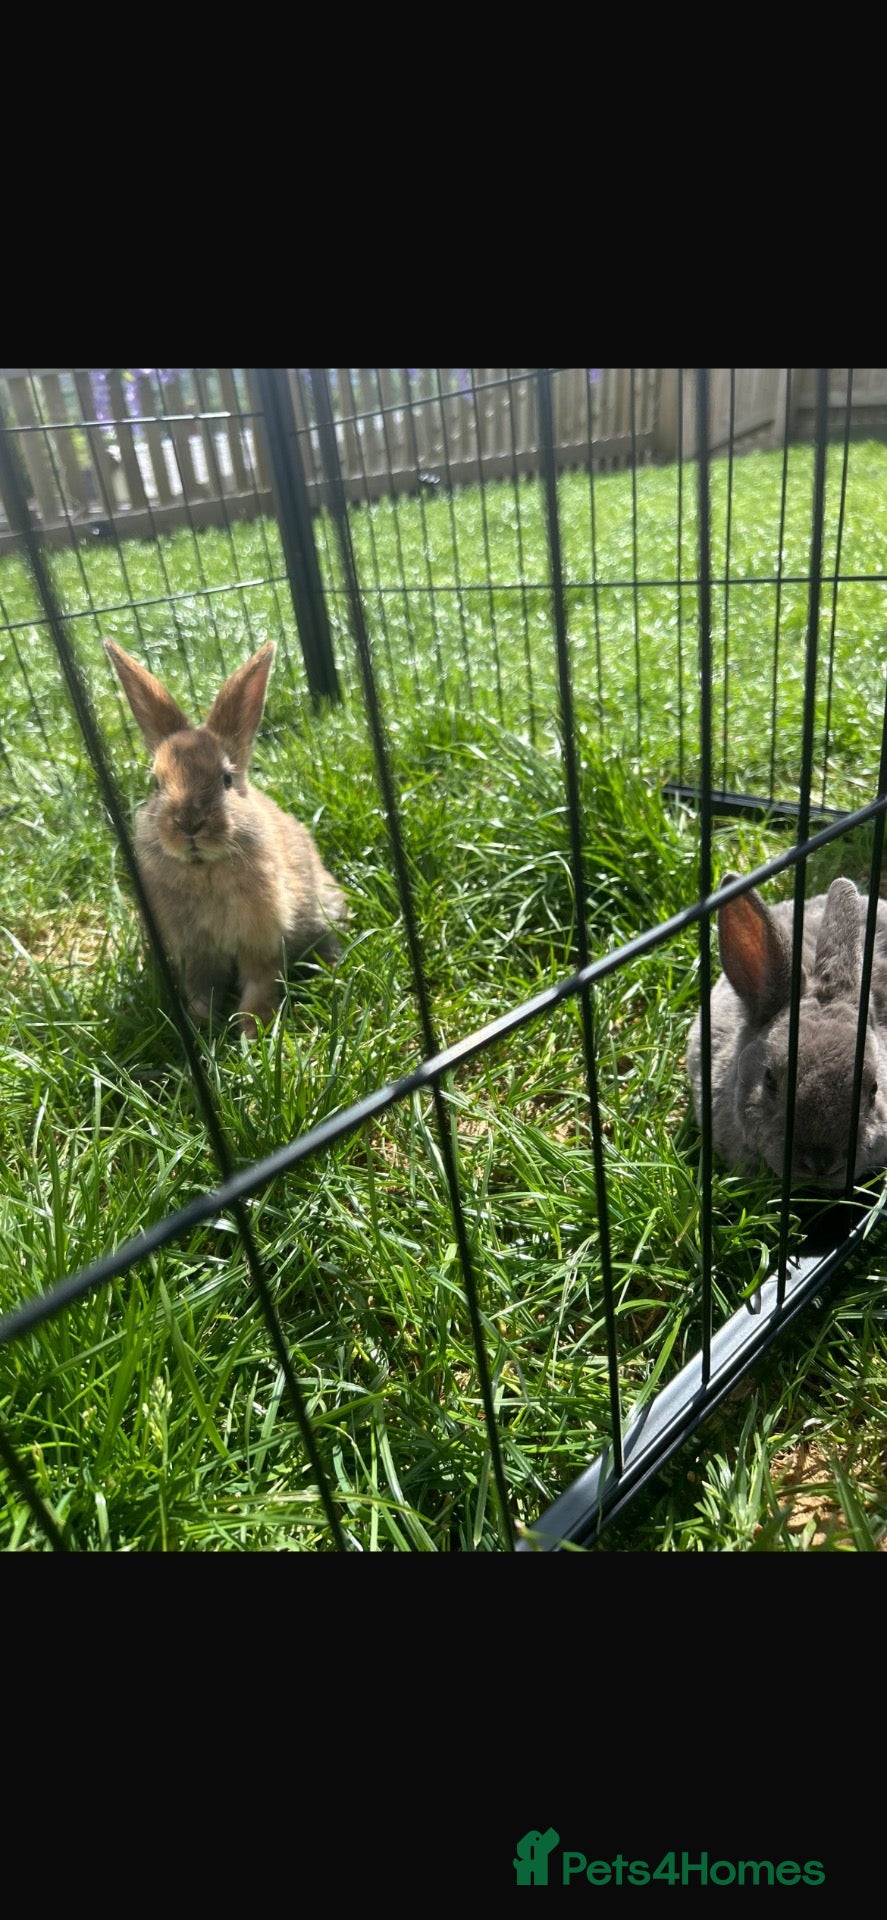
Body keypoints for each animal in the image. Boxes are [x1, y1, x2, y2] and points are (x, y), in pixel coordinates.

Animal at [105, 638, 347, 1038]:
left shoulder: (260, 942)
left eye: (226, 779)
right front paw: (201, 1028)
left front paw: (253, 1031)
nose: (189, 824)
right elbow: (201, 992)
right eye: (155, 783)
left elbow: (259, 984)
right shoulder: (195, 953)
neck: (204, 868)